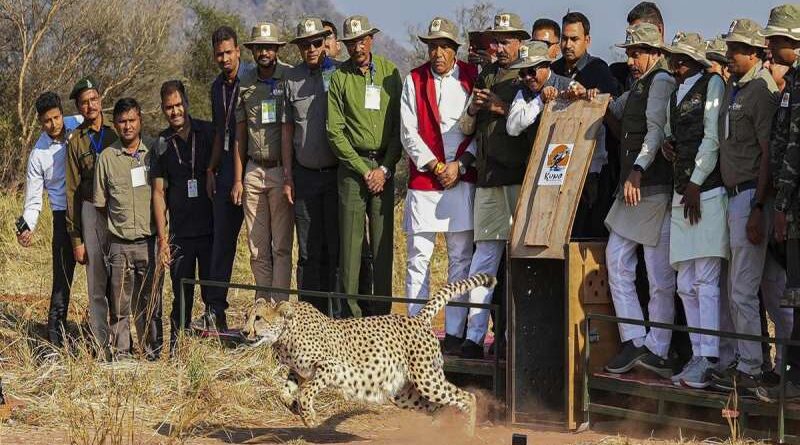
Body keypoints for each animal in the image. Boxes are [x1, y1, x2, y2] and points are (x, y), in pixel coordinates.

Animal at [241, 273, 497, 435]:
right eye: (246, 316)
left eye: (258, 318)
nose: (244, 331)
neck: (285, 333)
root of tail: (417, 318)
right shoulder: (298, 371)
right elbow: (283, 392)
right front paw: (295, 407)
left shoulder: (330, 367)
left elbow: (306, 392)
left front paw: (309, 416)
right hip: (403, 392)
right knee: (437, 407)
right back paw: (439, 431)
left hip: (427, 379)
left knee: (466, 397)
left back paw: (467, 433)